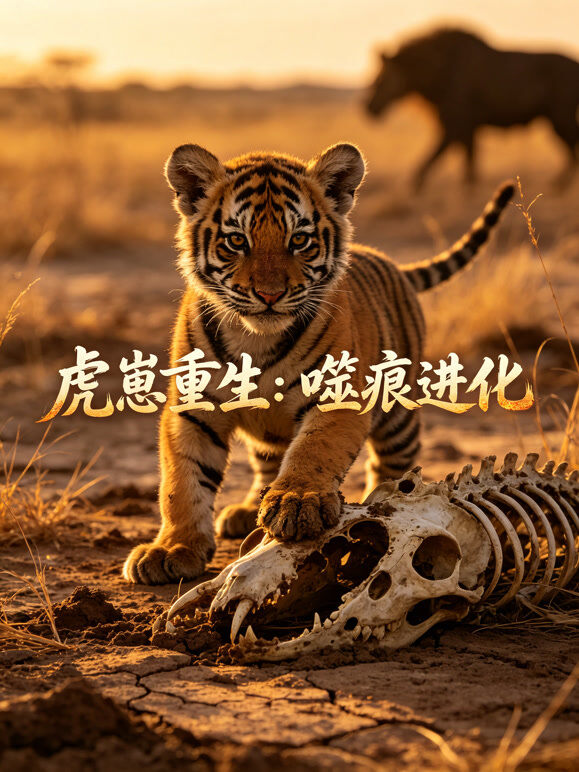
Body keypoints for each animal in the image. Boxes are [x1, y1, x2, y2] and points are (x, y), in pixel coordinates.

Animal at [122, 142, 514, 585]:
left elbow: (314, 450)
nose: (269, 294)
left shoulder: (338, 395)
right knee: (267, 457)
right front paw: (173, 548)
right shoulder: (193, 407)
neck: (256, 338)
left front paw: (296, 503)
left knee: (395, 460)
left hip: (397, 413)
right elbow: (181, 481)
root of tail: (390, 262)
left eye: (300, 240)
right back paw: (246, 511)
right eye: (237, 240)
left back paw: (387, 500)